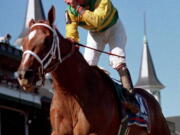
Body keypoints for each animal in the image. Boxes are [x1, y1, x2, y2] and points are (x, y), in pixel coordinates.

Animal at [17, 6, 171, 135]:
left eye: (47, 39)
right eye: (24, 41)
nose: (24, 75)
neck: (71, 93)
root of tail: (153, 100)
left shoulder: (94, 132)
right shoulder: (58, 132)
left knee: (117, 59)